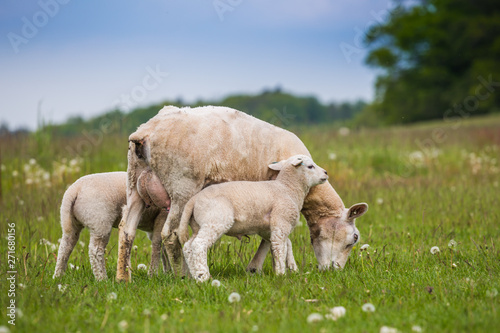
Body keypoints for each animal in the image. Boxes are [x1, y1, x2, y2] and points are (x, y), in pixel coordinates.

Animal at [179, 154, 328, 282]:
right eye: (310, 166)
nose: (326, 173)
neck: (288, 188)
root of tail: (193, 200)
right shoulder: (281, 220)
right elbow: (280, 247)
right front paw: (281, 273)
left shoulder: (268, 228)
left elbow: (287, 244)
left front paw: (292, 268)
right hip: (215, 220)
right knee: (198, 244)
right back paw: (204, 277)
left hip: (198, 225)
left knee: (188, 246)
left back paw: (195, 275)